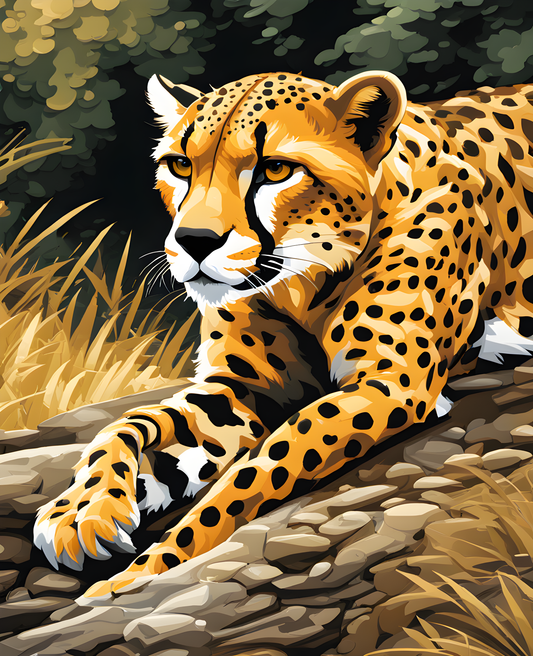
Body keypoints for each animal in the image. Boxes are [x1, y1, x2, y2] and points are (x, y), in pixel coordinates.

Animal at [34, 69, 533, 601]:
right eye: (180, 165)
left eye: (275, 170)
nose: (193, 241)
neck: (300, 283)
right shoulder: (240, 387)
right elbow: (125, 426)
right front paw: (79, 514)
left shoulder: (390, 383)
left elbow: (258, 471)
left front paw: (134, 577)